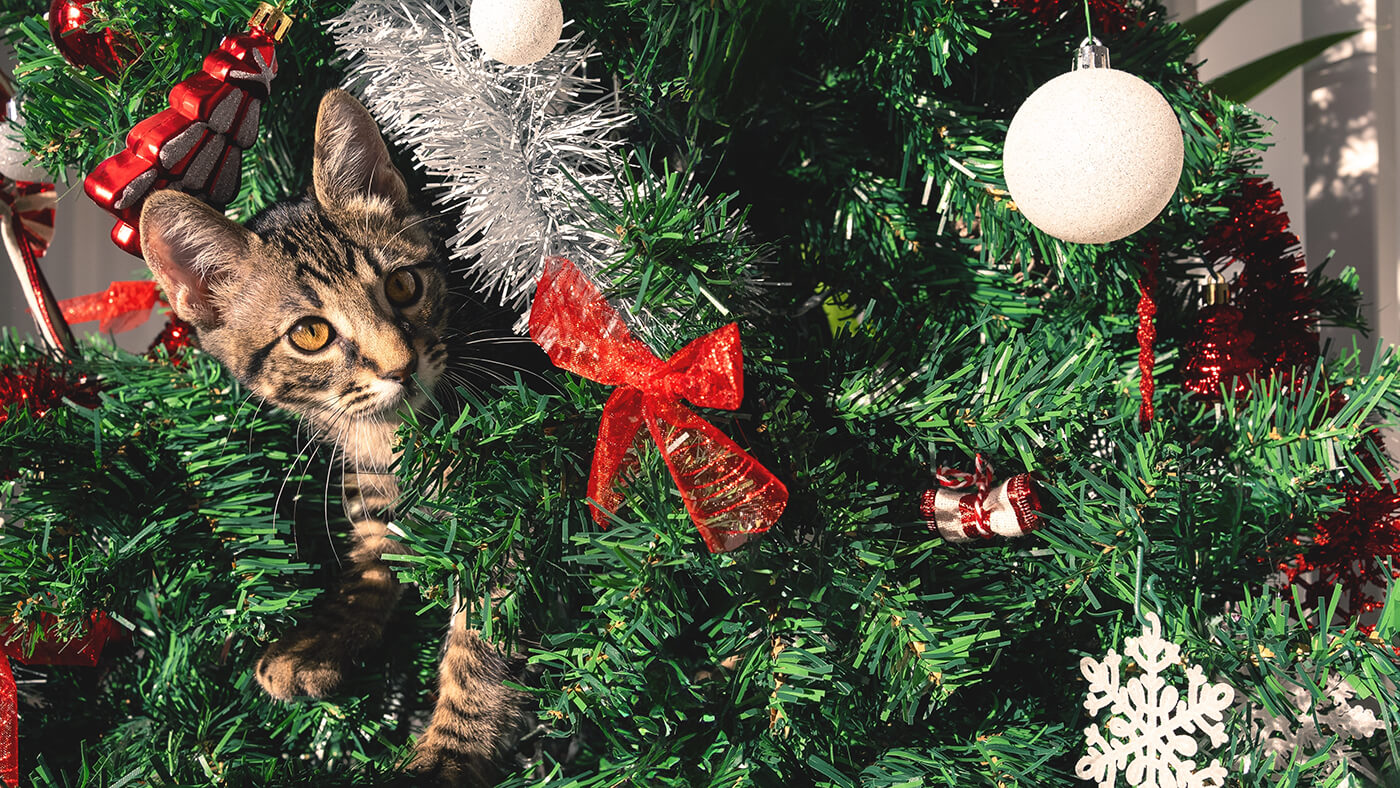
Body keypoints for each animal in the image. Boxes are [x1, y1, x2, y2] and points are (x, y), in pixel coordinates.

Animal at [139, 89, 529, 783]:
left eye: (403, 285)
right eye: (311, 334)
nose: (401, 366)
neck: (392, 440)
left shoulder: (503, 506)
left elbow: (481, 638)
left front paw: (450, 752)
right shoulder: (369, 492)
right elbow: (368, 562)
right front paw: (320, 639)